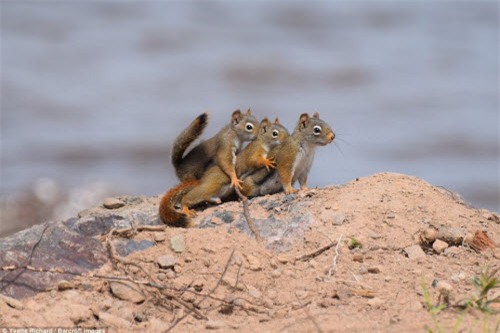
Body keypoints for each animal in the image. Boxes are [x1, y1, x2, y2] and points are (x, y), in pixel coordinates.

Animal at [160, 116, 290, 226]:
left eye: (285, 128)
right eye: (275, 133)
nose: (289, 138)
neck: (263, 142)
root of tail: (202, 180)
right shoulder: (254, 151)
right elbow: (254, 160)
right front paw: (266, 162)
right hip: (210, 186)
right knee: (190, 197)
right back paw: (186, 208)